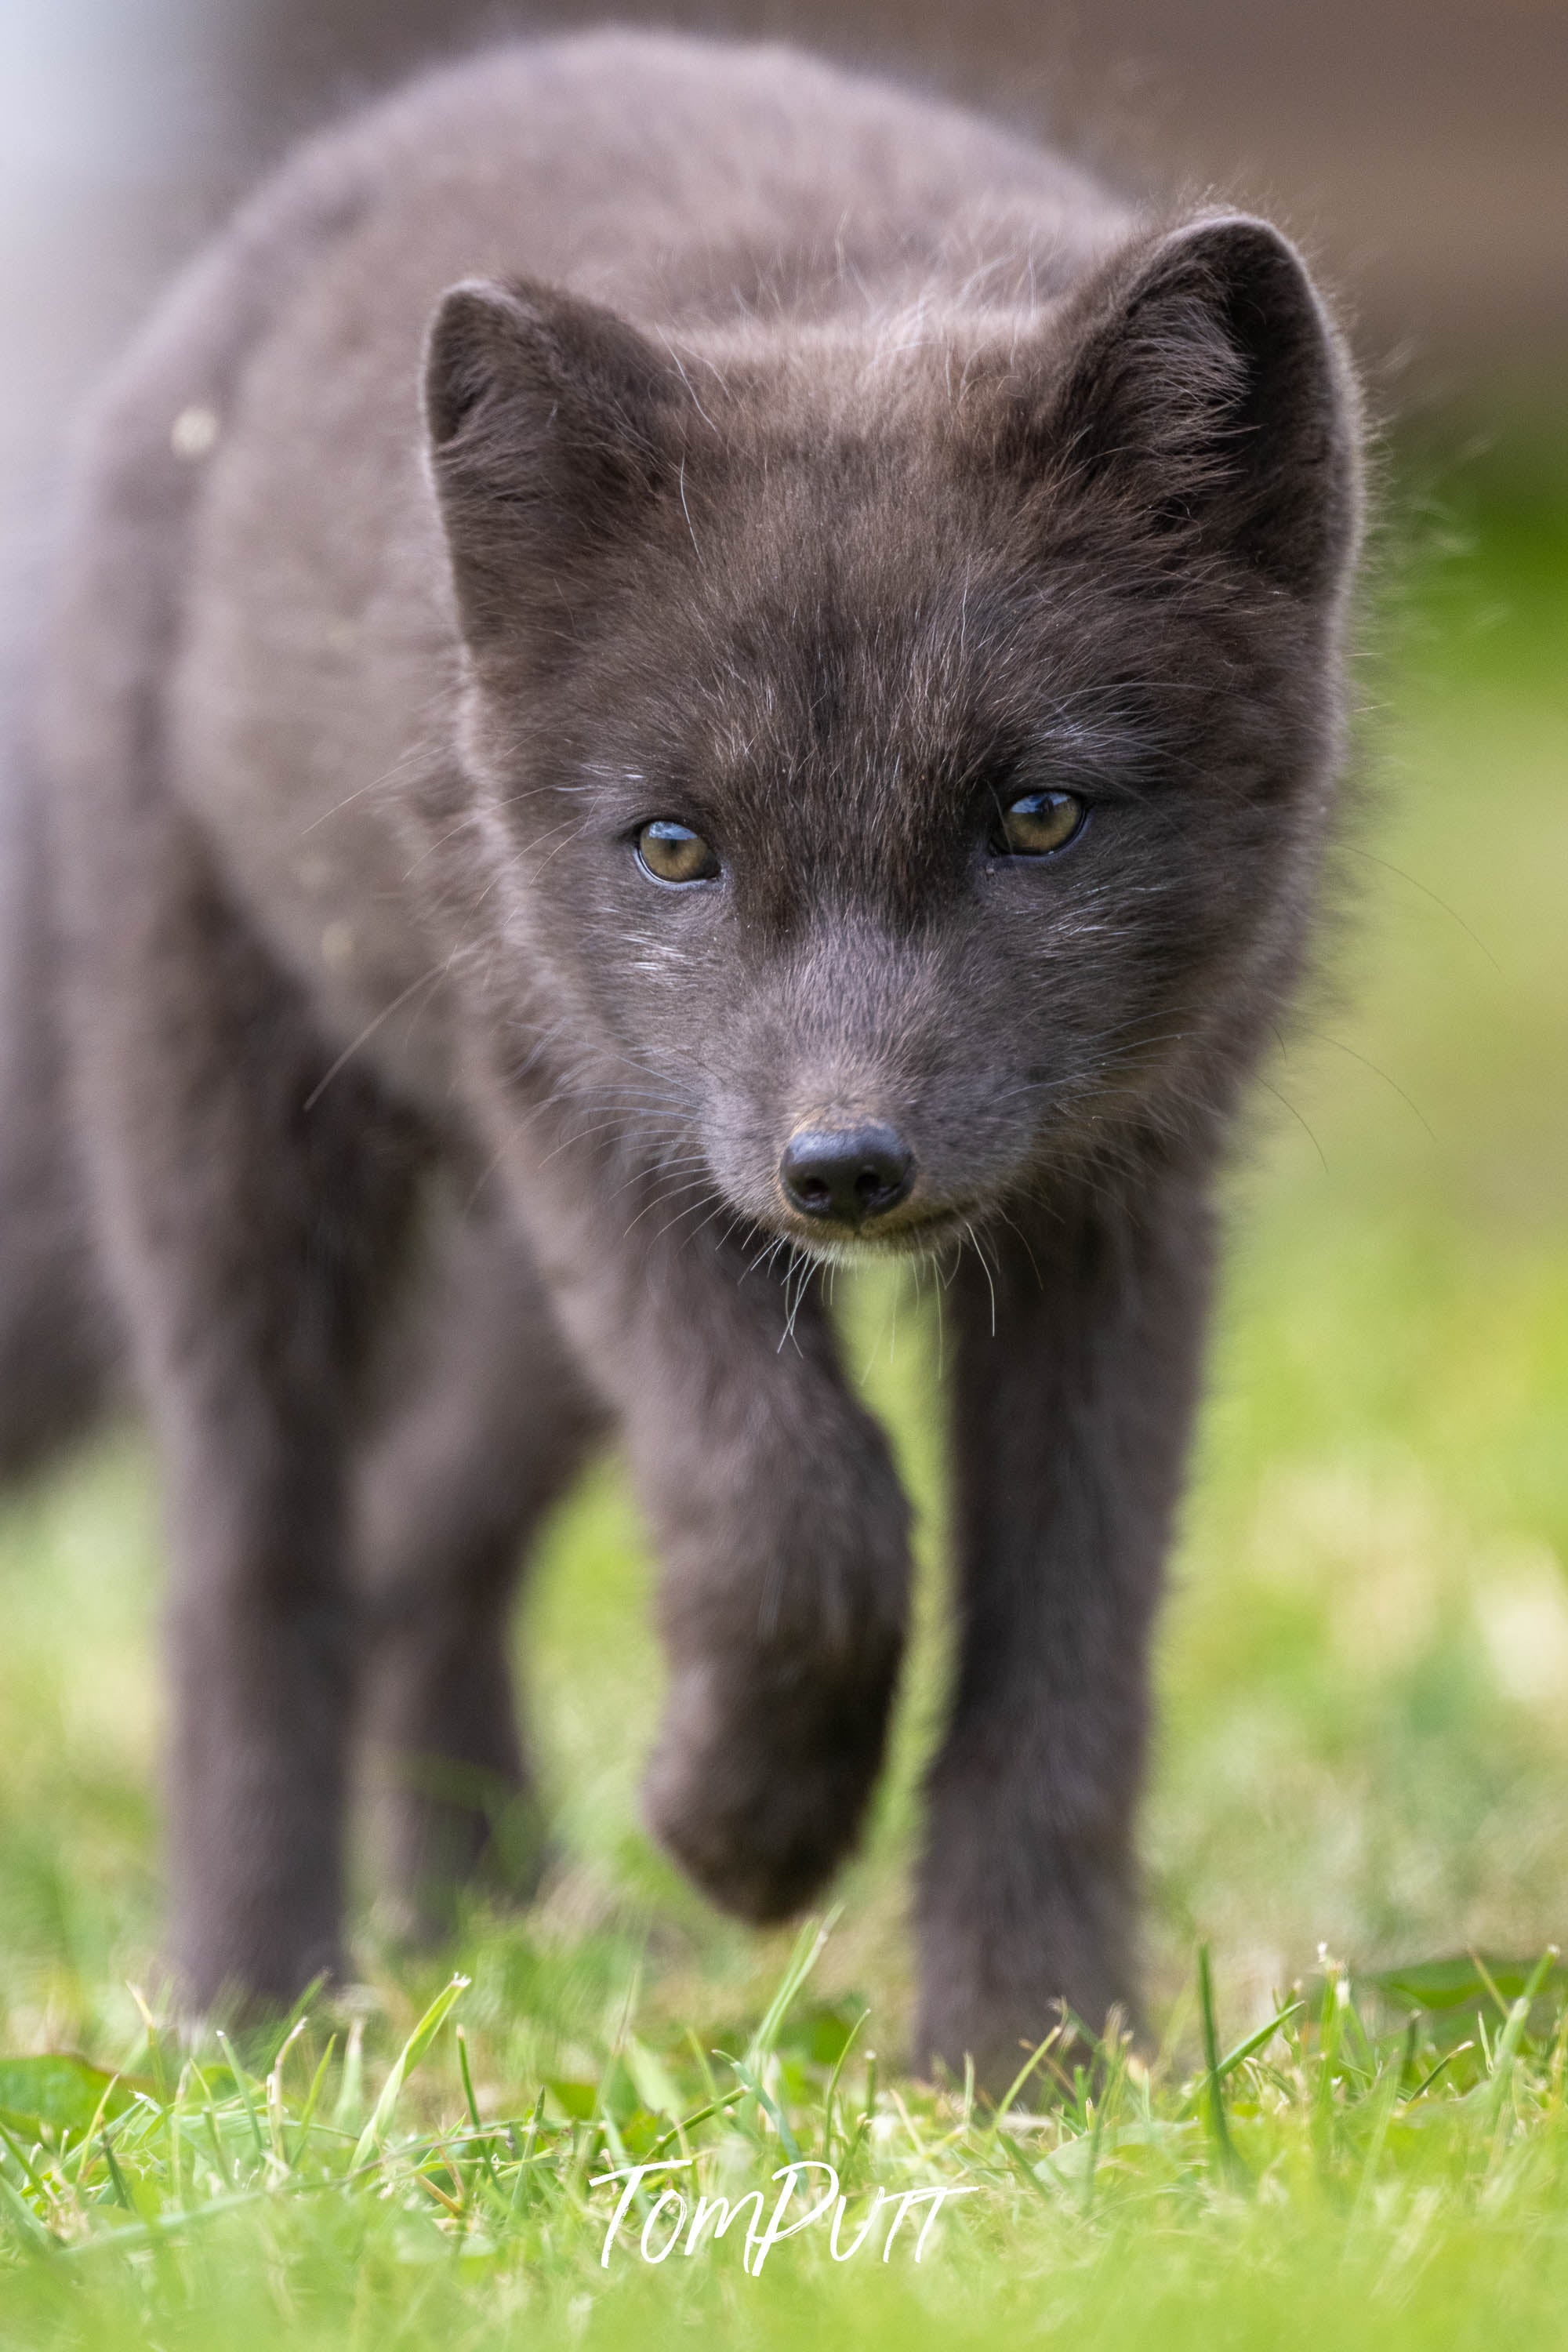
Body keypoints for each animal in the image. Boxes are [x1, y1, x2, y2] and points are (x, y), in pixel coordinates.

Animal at [7, 30, 1361, 2088]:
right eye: (670, 847)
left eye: (1036, 817)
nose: (844, 1169)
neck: (842, 294)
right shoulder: (584, 1125)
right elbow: (793, 1516)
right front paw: (746, 1832)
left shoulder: (1126, 1198)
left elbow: (1066, 1643)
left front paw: (1024, 2057)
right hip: (237, 1142)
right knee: (250, 1561)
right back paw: (265, 2010)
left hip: (531, 1310)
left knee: (414, 1540)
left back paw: (475, 1918)